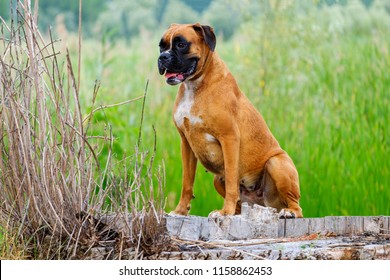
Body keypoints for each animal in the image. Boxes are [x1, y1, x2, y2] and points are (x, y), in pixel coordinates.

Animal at [157, 23, 304, 218]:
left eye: (181, 45)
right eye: (161, 46)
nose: (162, 57)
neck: (195, 85)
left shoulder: (229, 139)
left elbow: (232, 181)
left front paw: (224, 212)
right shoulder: (186, 144)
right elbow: (187, 183)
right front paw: (181, 210)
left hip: (276, 164)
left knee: (297, 206)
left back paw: (289, 212)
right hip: (218, 180)